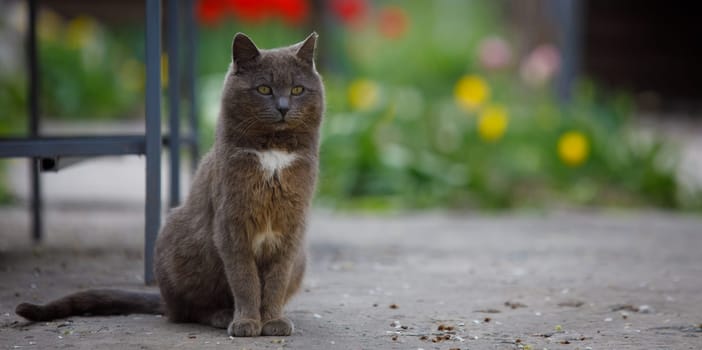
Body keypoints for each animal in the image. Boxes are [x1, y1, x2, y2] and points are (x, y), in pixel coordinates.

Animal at [15, 32, 324, 336]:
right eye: (264, 89)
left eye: (297, 90)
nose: (283, 107)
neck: (274, 154)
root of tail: (163, 300)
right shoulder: (232, 224)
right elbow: (245, 279)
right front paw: (247, 322)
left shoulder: (291, 229)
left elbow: (275, 281)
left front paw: (273, 321)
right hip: (182, 244)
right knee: (187, 310)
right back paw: (222, 315)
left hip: (301, 258)